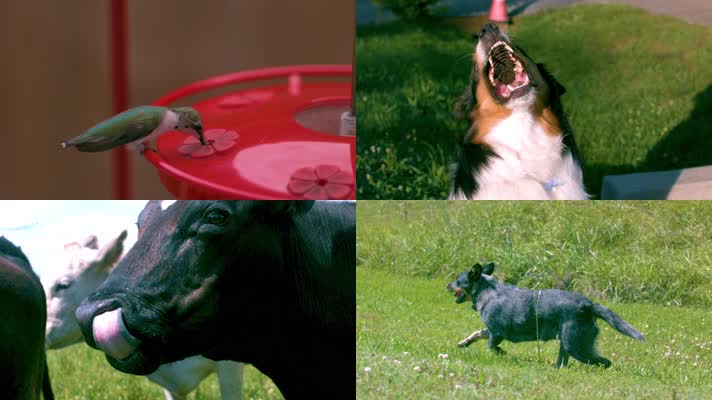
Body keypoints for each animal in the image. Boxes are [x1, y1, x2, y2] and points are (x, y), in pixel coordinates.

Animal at [448, 262, 648, 368]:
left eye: (458, 281)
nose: (446, 285)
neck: (486, 290)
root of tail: (587, 304)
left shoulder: (497, 333)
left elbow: (491, 346)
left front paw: (501, 353)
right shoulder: (489, 331)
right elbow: (476, 334)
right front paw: (464, 343)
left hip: (575, 346)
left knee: (604, 362)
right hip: (566, 345)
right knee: (563, 363)